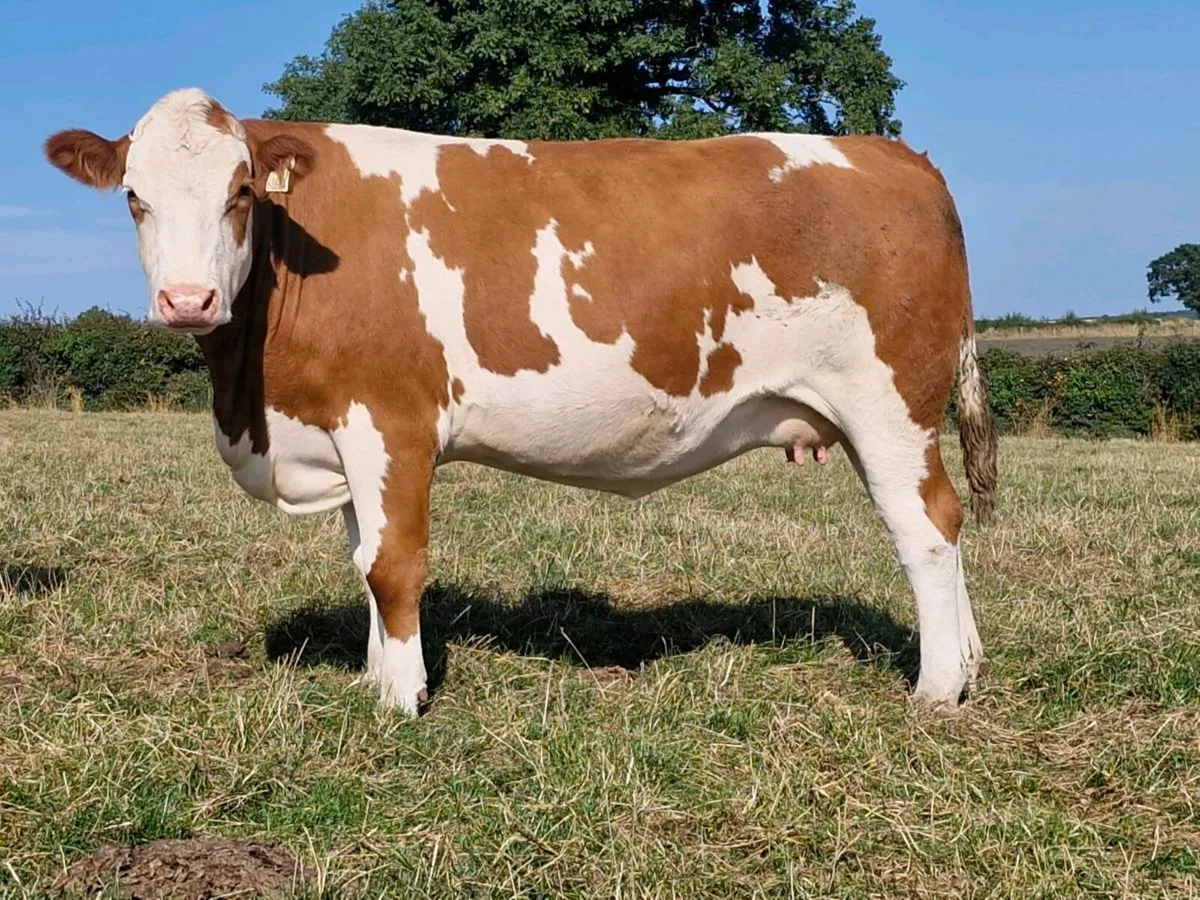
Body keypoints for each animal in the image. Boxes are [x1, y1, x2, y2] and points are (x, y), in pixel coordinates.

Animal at [44, 87, 998, 717]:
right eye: (134, 198)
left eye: (241, 195)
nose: (188, 301)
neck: (256, 401)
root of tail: (892, 153)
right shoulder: (342, 435)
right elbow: (360, 561)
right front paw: (375, 677)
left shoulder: (390, 422)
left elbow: (393, 564)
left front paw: (402, 702)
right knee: (944, 525)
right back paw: (970, 664)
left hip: (888, 404)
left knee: (925, 528)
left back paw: (936, 688)